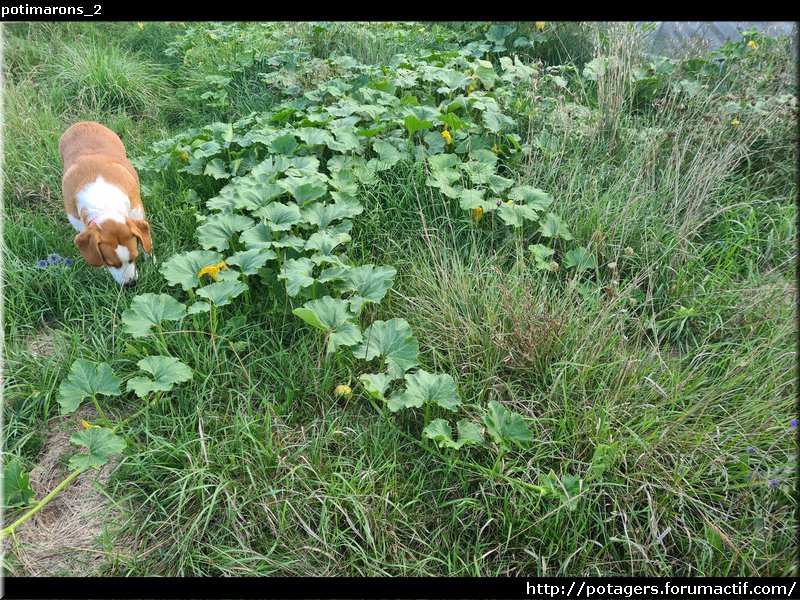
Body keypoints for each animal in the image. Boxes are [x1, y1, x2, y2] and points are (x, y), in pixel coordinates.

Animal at [60, 120, 152, 288]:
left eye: (134, 257)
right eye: (110, 263)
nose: (130, 283)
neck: (103, 204)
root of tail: (83, 122)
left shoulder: (137, 213)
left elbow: (147, 244)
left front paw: (152, 263)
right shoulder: (80, 224)